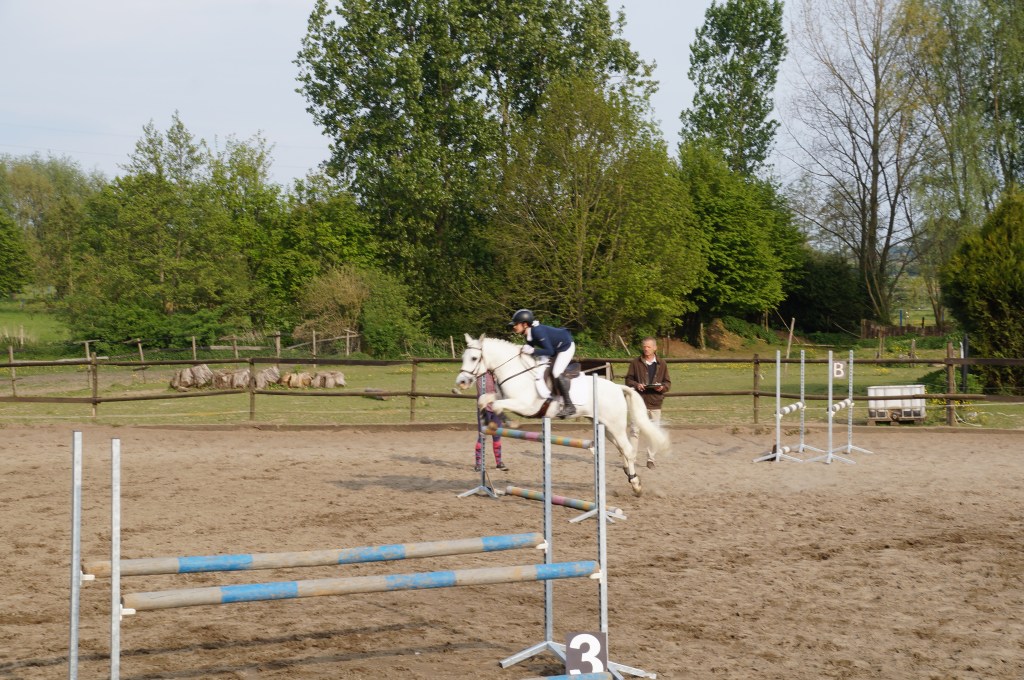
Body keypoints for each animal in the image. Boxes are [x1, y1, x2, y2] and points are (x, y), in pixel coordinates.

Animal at [455, 334, 668, 496]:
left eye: (474, 358)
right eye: (464, 357)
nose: (461, 382)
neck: (517, 372)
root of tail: (619, 388)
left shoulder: (525, 405)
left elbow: (498, 405)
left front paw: (507, 423)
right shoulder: (505, 397)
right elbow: (485, 400)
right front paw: (487, 419)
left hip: (614, 425)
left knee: (628, 449)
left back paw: (636, 485)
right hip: (605, 426)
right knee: (622, 449)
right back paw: (629, 475)